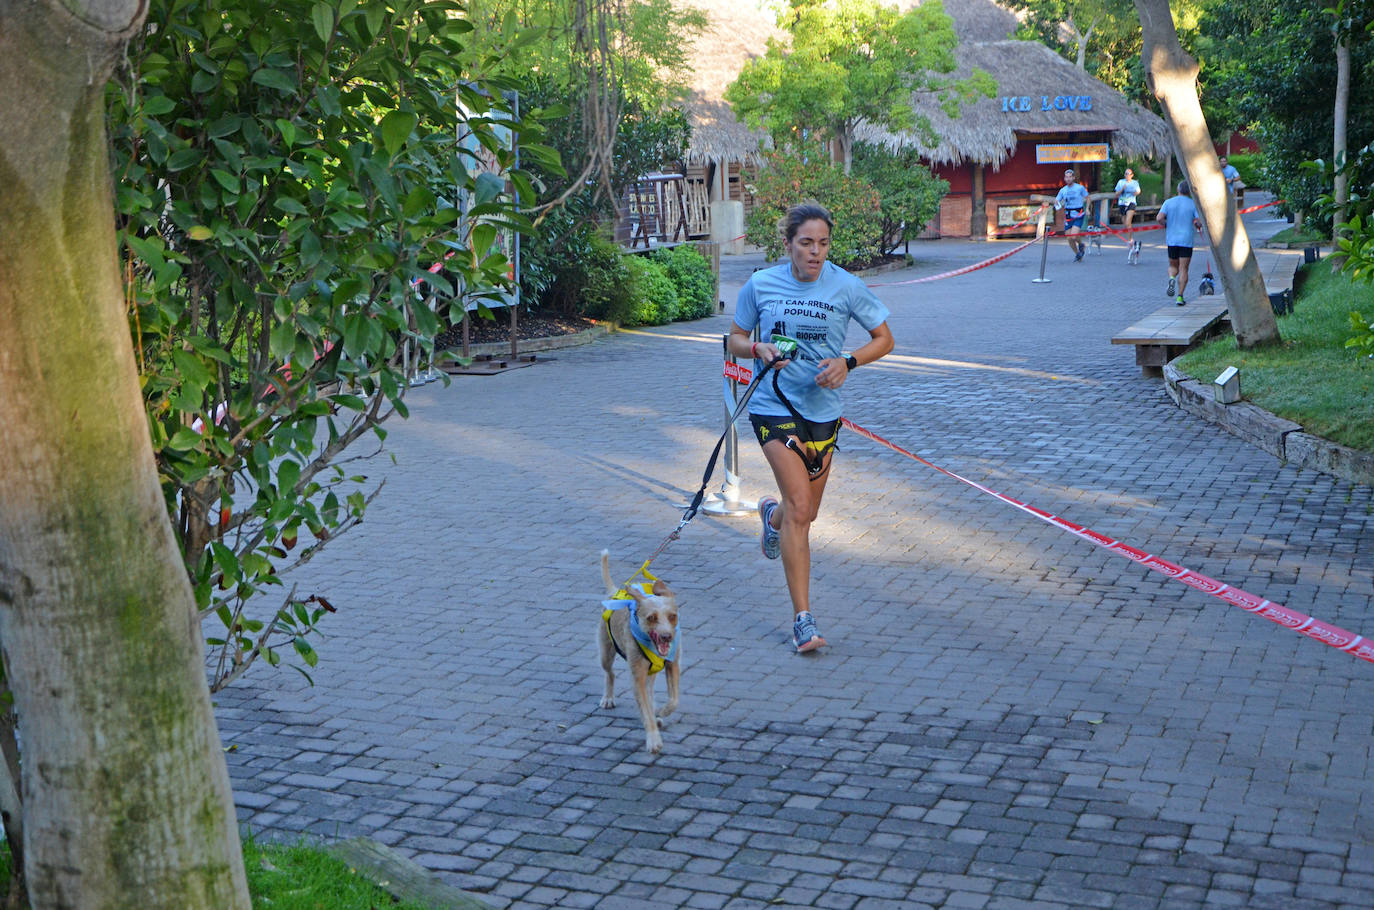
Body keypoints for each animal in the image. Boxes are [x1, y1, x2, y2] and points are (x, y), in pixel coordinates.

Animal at [596, 549, 681, 753]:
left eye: (672, 616)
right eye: (651, 618)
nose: (667, 637)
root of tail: (614, 593)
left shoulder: (673, 665)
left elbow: (674, 700)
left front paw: (662, 711)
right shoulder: (638, 678)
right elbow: (646, 713)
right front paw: (653, 739)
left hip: (652, 674)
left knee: (650, 694)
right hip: (605, 653)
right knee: (609, 674)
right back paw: (608, 698)